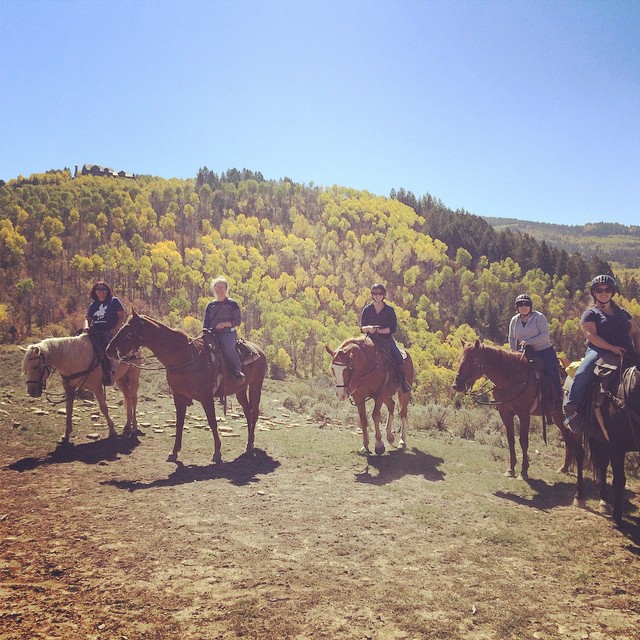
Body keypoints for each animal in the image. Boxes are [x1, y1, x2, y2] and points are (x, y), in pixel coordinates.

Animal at [106, 308, 266, 462]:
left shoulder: (206, 397)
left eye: (127, 331)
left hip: (256, 386)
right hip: (241, 390)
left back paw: (250, 445)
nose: (108, 350)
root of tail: (259, 350)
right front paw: (174, 452)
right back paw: (249, 444)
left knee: (254, 413)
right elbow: (179, 422)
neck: (186, 357)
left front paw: (217, 452)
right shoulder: (179, 396)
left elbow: (212, 422)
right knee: (247, 412)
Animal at [452, 340, 584, 480]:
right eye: (460, 359)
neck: (511, 378)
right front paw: (510, 469)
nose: (457, 385)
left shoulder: (524, 414)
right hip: (557, 416)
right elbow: (511, 439)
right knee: (567, 439)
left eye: (475, 360)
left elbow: (523, 441)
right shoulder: (505, 412)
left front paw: (524, 471)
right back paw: (564, 468)